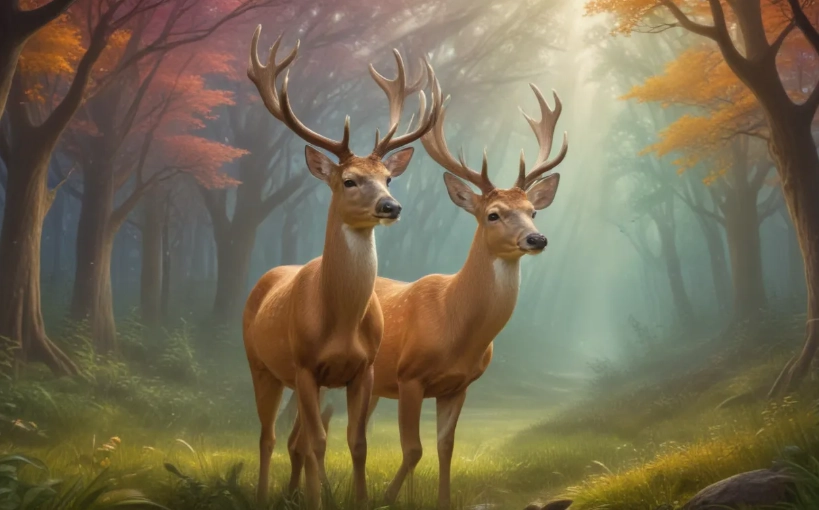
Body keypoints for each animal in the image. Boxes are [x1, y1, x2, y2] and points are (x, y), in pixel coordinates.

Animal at [242, 25, 441, 509]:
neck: (340, 323)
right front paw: (316, 501)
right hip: (261, 364)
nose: (392, 206)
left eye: (388, 178)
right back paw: (263, 494)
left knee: (292, 438)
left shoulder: (362, 369)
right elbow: (318, 444)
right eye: (349, 180)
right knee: (269, 437)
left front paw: (360, 498)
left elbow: (356, 443)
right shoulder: (304, 364)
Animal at [310, 83, 568, 509]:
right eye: (493, 214)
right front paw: (387, 497)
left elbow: (445, 448)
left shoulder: (458, 386)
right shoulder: (409, 376)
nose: (538, 239)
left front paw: (438, 499)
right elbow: (413, 449)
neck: (454, 324)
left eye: (533, 211)